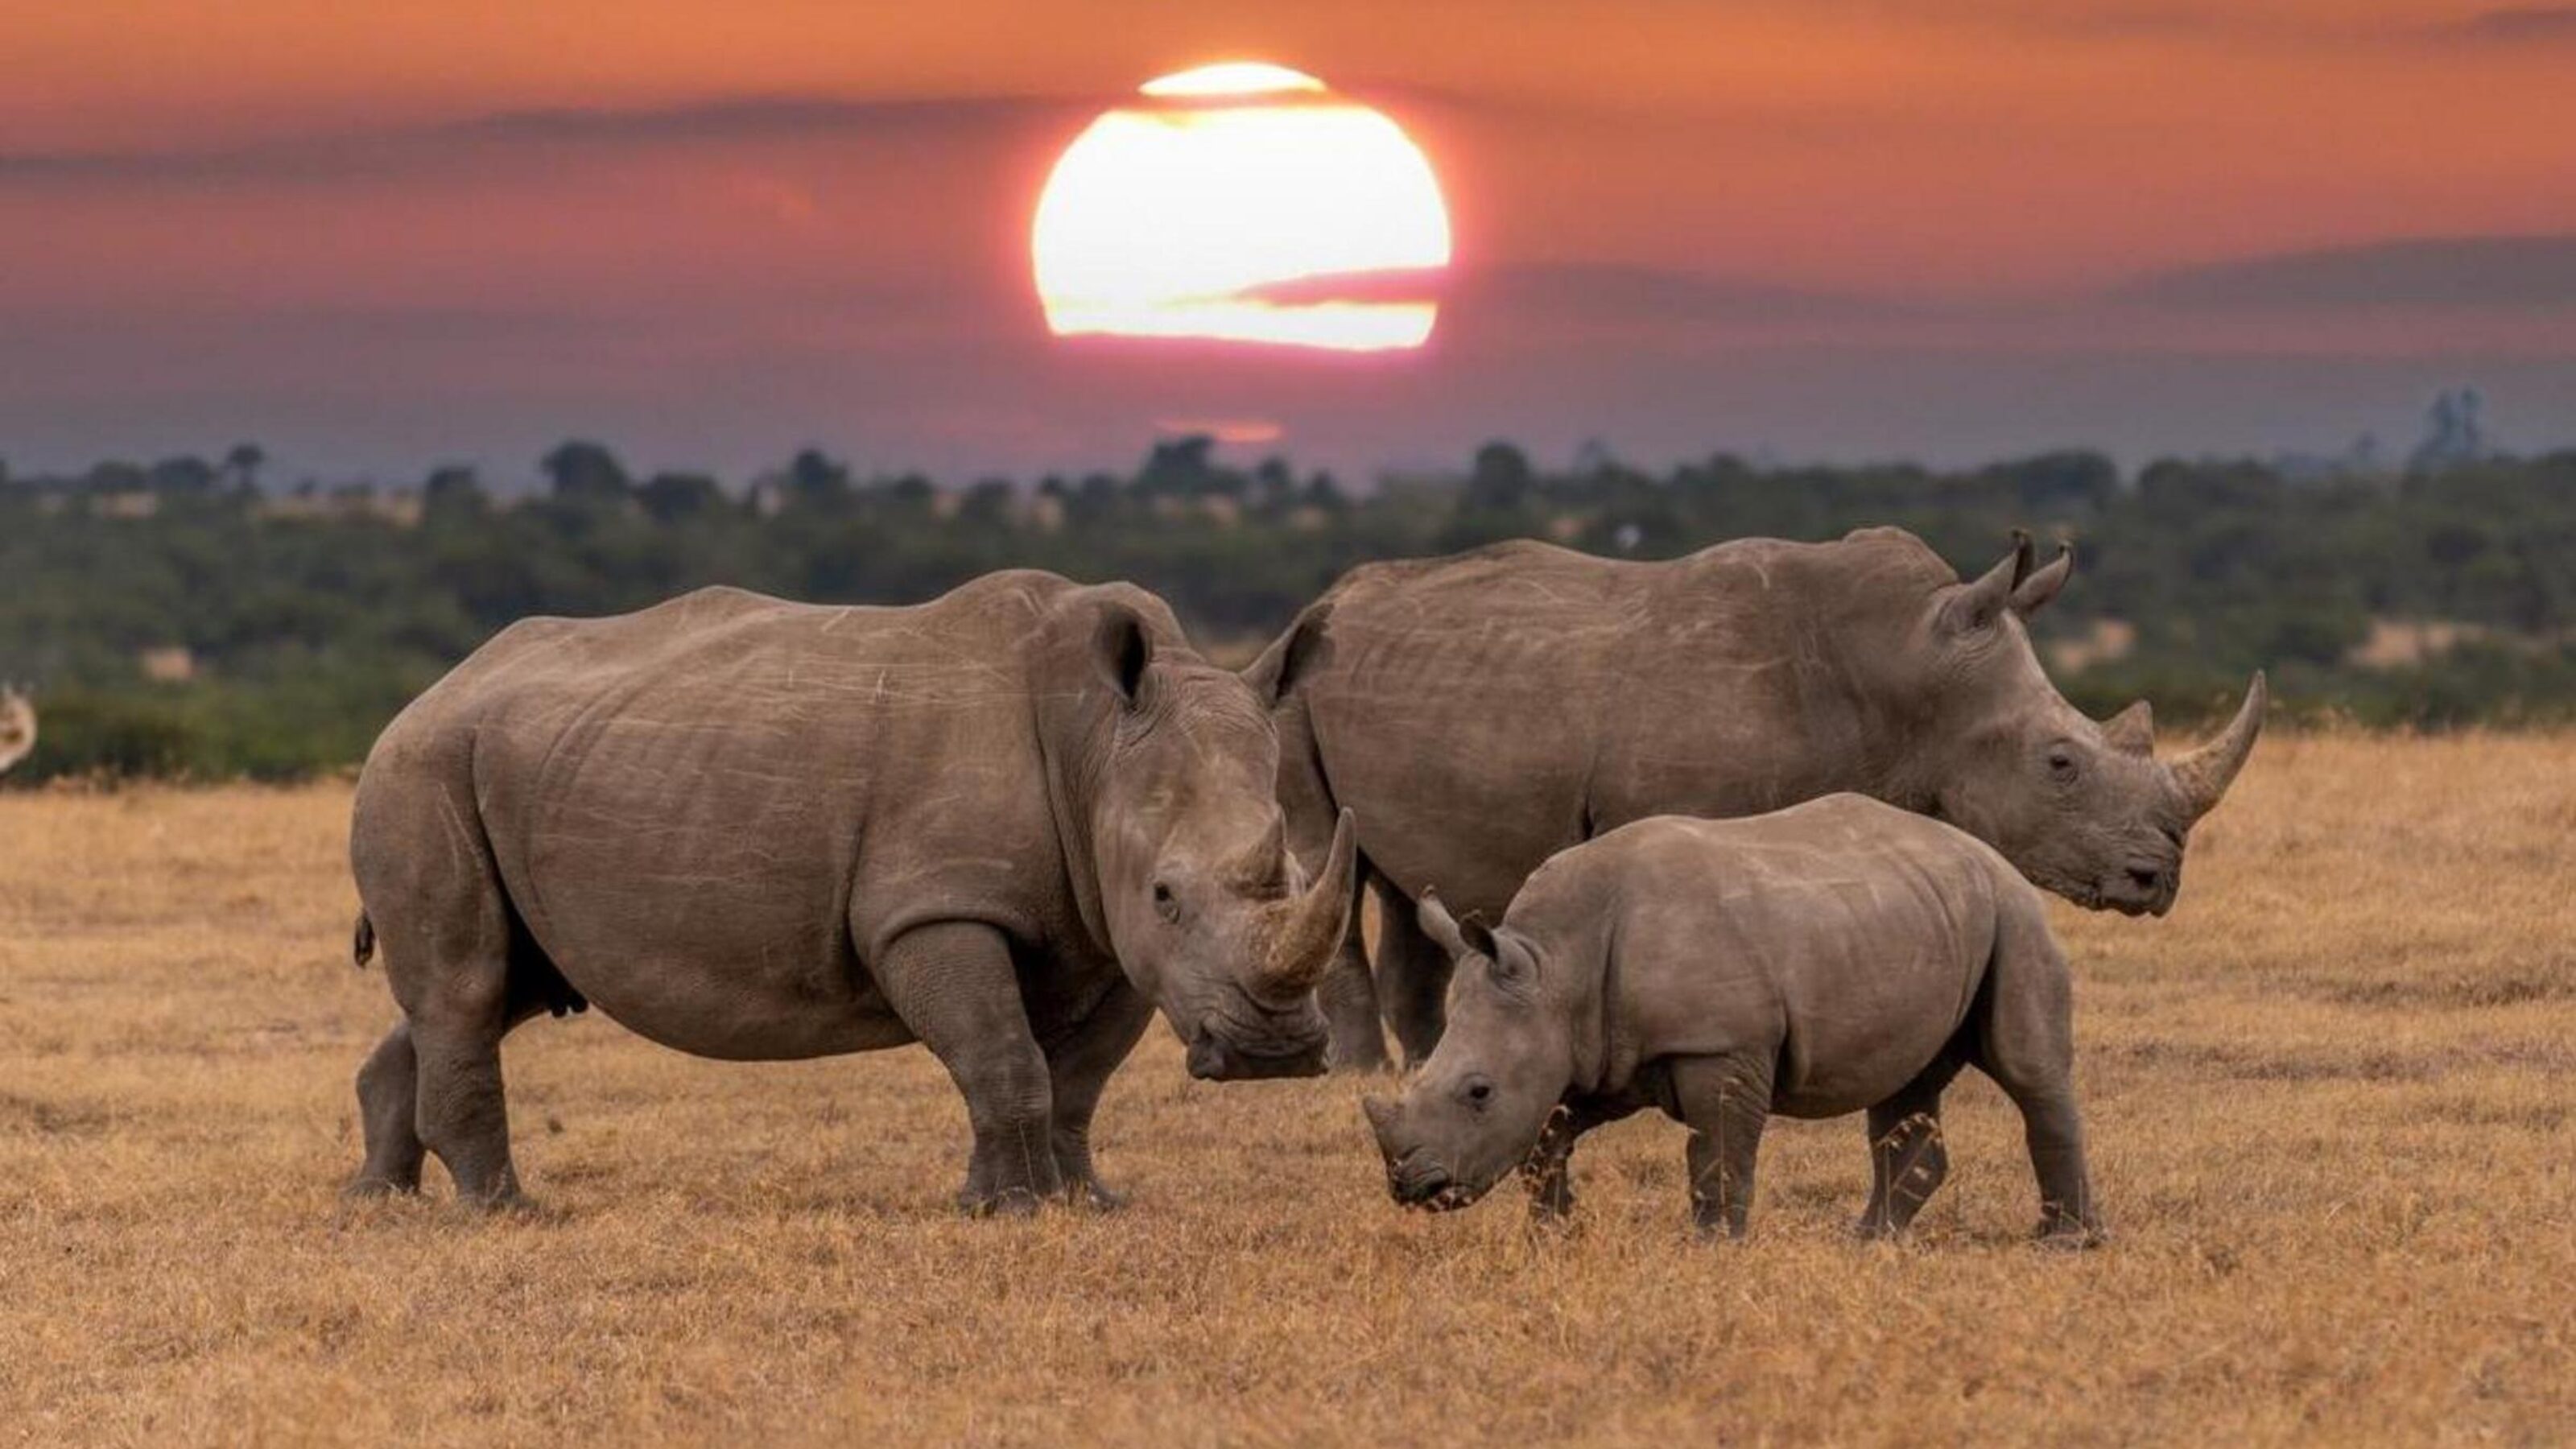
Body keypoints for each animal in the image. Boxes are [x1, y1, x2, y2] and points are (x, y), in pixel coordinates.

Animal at [345, 575, 1356, 1212]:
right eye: (1165, 894)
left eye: (1303, 875)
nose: (1274, 1054)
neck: (1096, 745)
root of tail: (434, 690)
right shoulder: (934, 907)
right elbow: (1002, 1058)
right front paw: (1011, 1211)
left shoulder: (1105, 934)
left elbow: (1076, 1081)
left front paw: (1081, 1202)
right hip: (421, 767)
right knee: (469, 984)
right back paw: (503, 1211)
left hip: (520, 766)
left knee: (498, 986)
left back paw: (378, 1200)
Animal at [1250, 528, 2264, 1070]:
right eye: (2059, 764)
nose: (2155, 880)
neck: (1909, 672)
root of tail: (1325, 598)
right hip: (1292, 683)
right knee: (1331, 853)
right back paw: (1353, 1074)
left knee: (1402, 876)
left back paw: (1426, 1061)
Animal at [1362, 795, 2105, 1244]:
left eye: (1478, 1092)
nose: (1413, 1187)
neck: (1555, 964)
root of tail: (1985, 850)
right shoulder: (1592, 1051)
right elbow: (1547, 1142)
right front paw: (1553, 1236)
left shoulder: (1717, 1044)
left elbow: (1718, 1152)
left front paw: (1713, 1247)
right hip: (1921, 913)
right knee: (1904, 1081)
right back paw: (1868, 1242)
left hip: (2012, 913)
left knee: (2028, 1071)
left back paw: (2064, 1244)